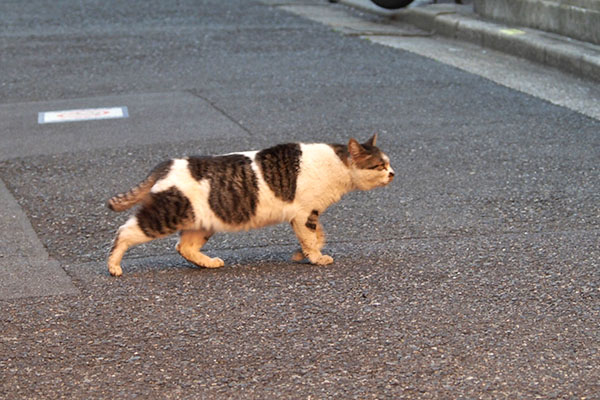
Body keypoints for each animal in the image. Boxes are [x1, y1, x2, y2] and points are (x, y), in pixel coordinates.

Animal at [105, 134, 394, 276]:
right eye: (379, 166)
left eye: (388, 163)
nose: (393, 174)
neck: (338, 165)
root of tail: (168, 163)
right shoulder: (304, 214)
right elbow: (312, 239)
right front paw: (315, 258)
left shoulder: (309, 215)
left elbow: (317, 236)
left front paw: (302, 254)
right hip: (165, 215)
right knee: (124, 232)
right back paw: (114, 266)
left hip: (203, 223)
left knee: (184, 247)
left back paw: (208, 263)